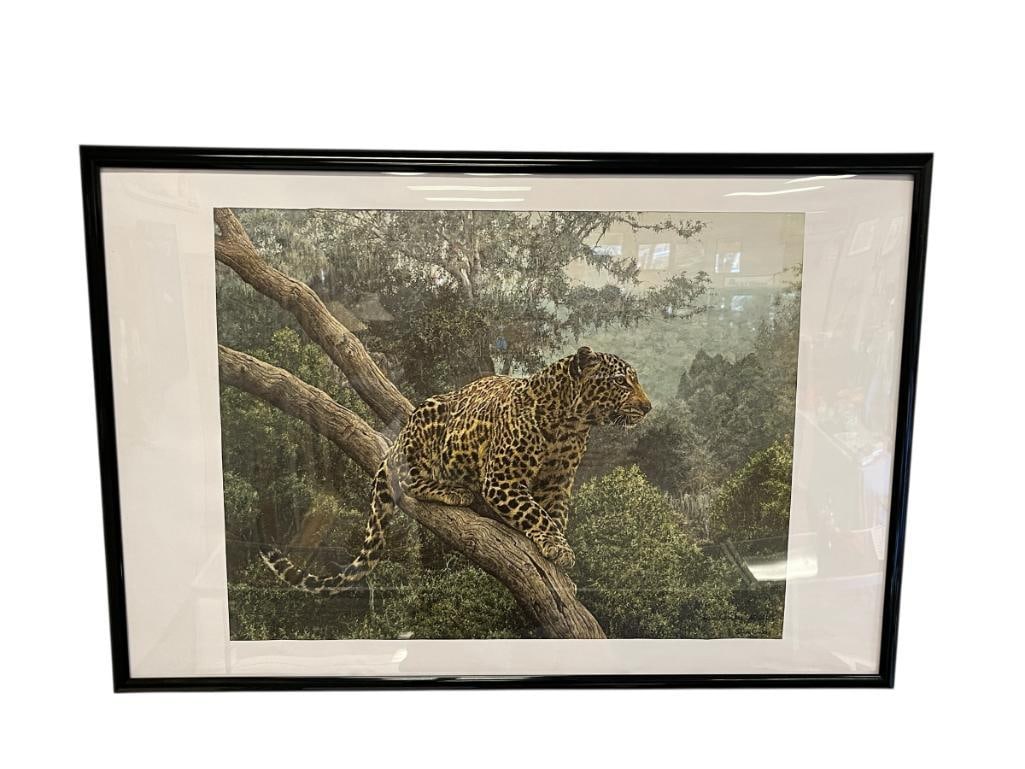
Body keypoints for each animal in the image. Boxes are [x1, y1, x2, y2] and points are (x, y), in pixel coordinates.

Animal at [260, 346, 652, 595]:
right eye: (621, 381)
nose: (648, 407)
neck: (571, 423)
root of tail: (398, 440)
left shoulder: (556, 485)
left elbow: (552, 516)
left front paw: (560, 563)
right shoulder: (503, 480)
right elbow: (536, 514)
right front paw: (557, 547)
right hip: (429, 415)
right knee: (409, 479)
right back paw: (455, 490)